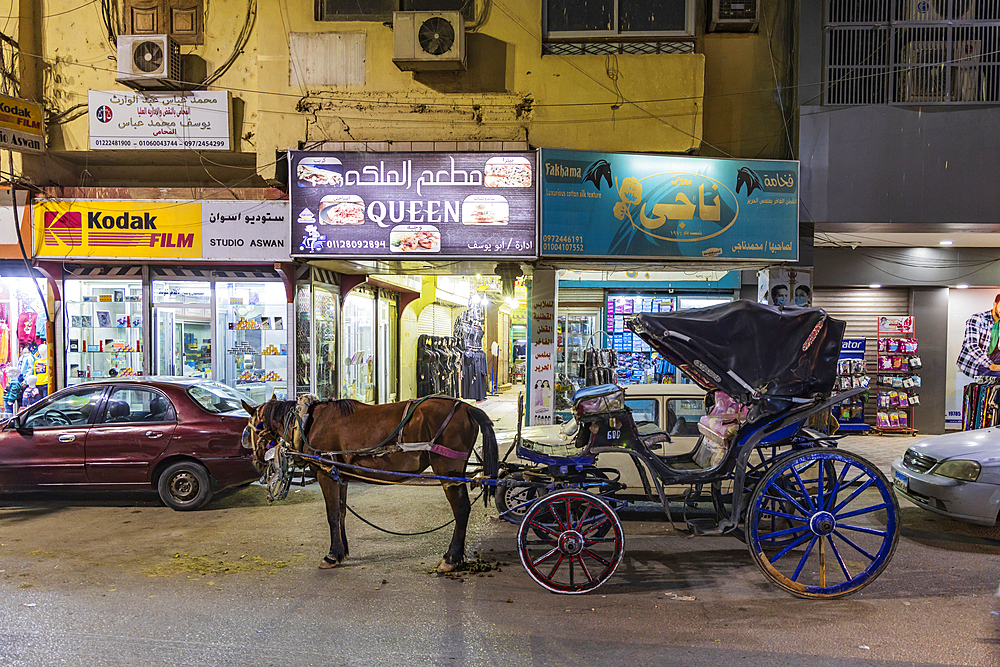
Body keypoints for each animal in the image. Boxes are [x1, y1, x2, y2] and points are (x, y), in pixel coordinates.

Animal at [243, 396, 500, 576]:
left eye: (250, 429)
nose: (255, 462)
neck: (307, 423)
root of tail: (466, 408)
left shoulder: (326, 475)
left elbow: (332, 514)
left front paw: (332, 555)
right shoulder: (340, 476)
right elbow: (342, 513)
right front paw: (342, 551)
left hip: (448, 472)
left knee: (462, 510)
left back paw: (451, 559)